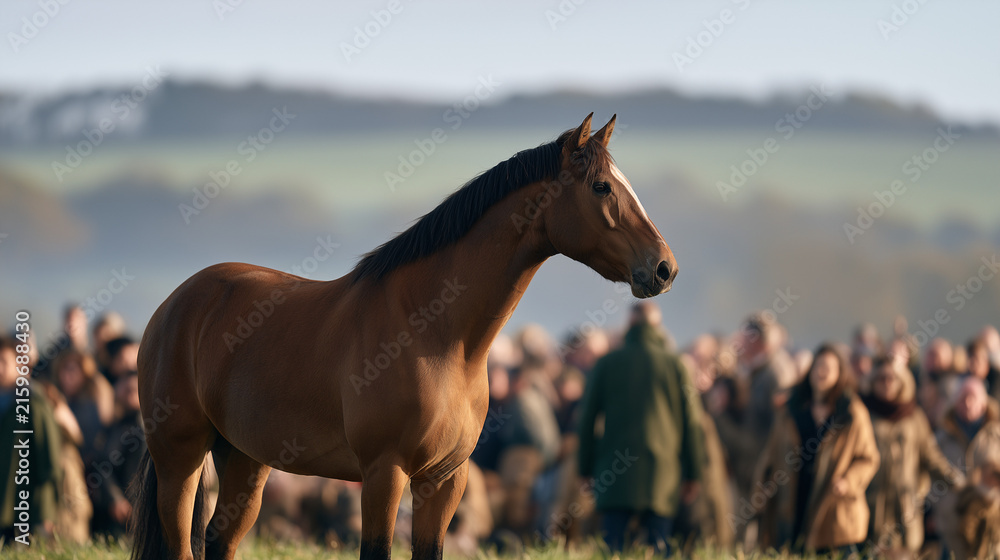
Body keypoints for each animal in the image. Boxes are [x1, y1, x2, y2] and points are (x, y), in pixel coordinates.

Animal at [129, 113, 678, 560]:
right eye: (602, 187)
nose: (664, 268)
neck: (438, 336)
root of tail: (174, 304)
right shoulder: (383, 473)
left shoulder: (444, 479)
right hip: (180, 458)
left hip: (244, 458)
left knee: (220, 541)